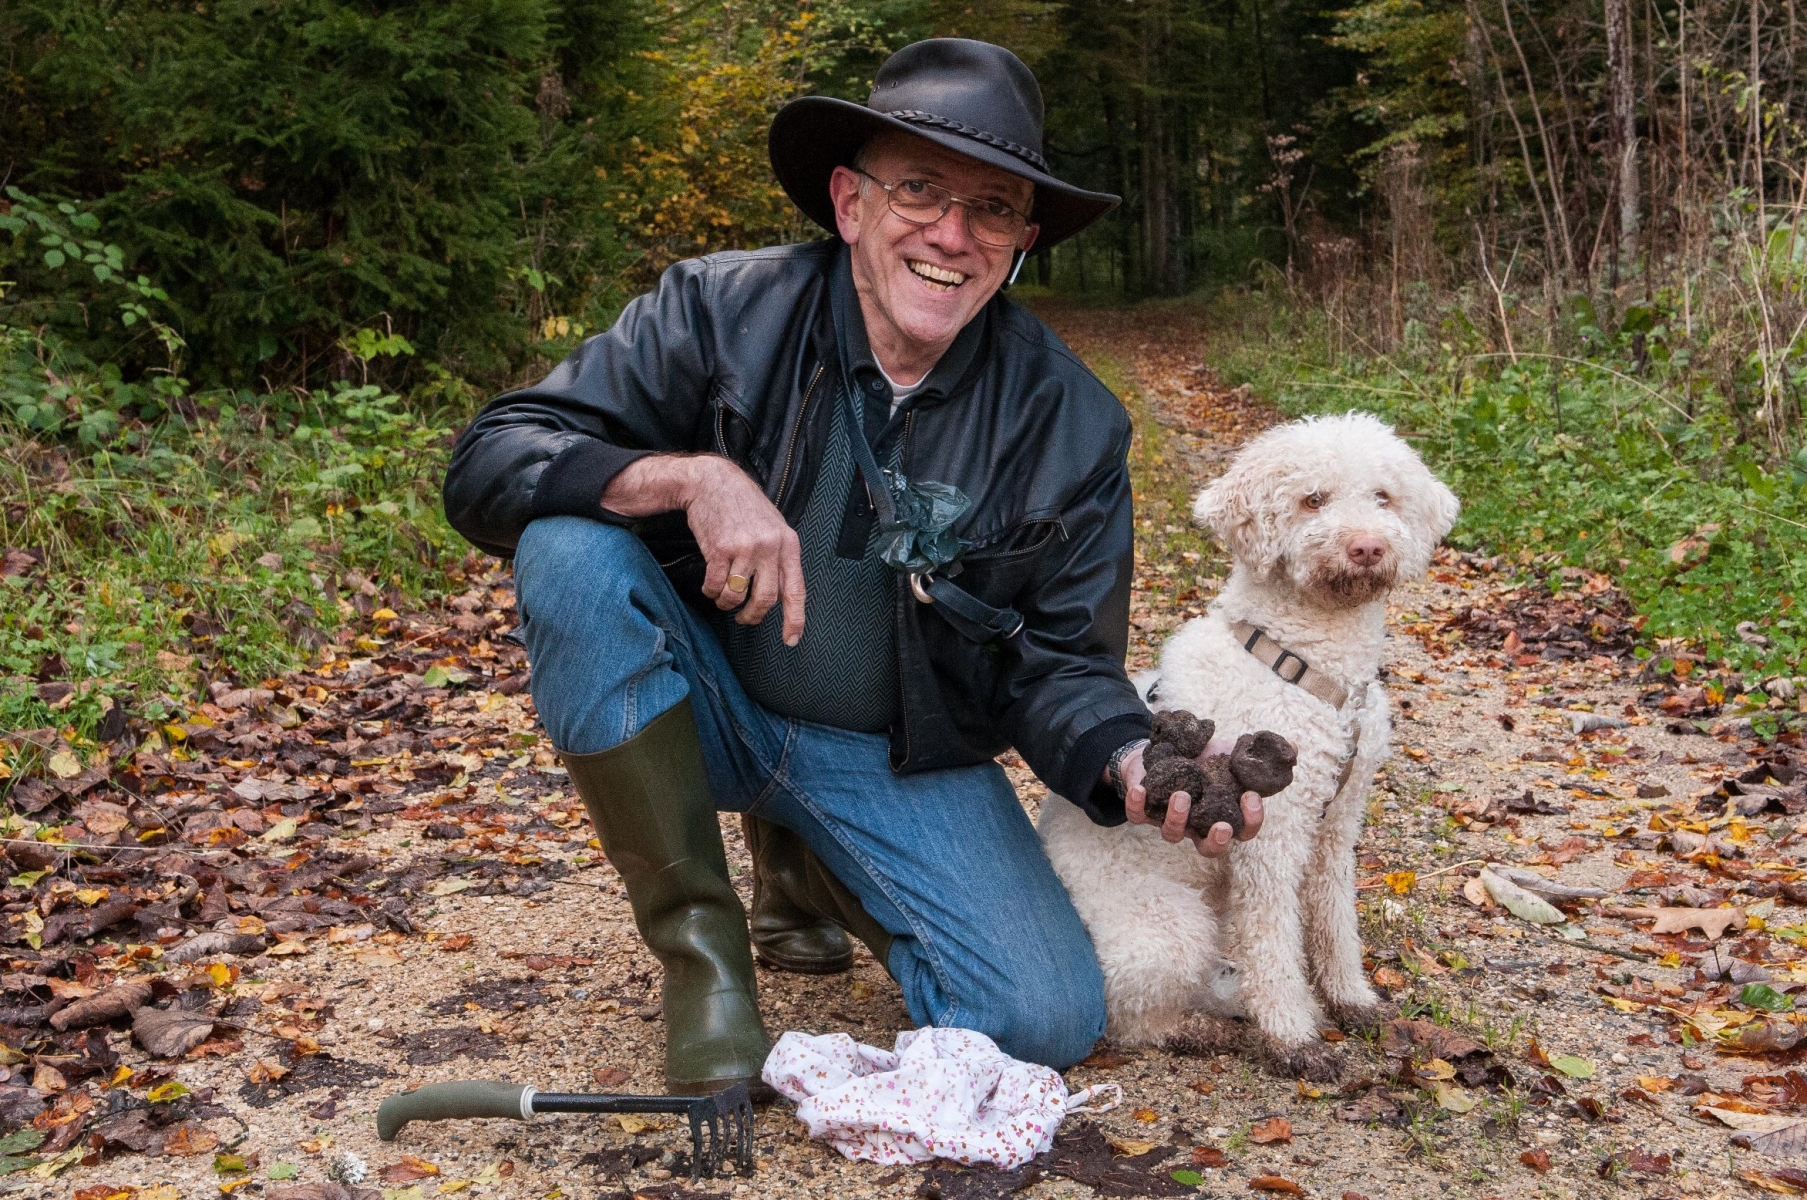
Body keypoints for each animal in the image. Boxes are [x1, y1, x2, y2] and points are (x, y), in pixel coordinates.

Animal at [1040, 412, 1460, 1077]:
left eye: (1383, 497)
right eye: (1312, 499)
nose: (1367, 546)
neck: (1305, 666)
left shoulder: (1336, 826)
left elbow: (1335, 922)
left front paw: (1351, 999)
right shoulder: (1271, 839)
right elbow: (1274, 945)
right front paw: (1294, 1037)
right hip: (1172, 927)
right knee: (1135, 1023)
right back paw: (1203, 1030)